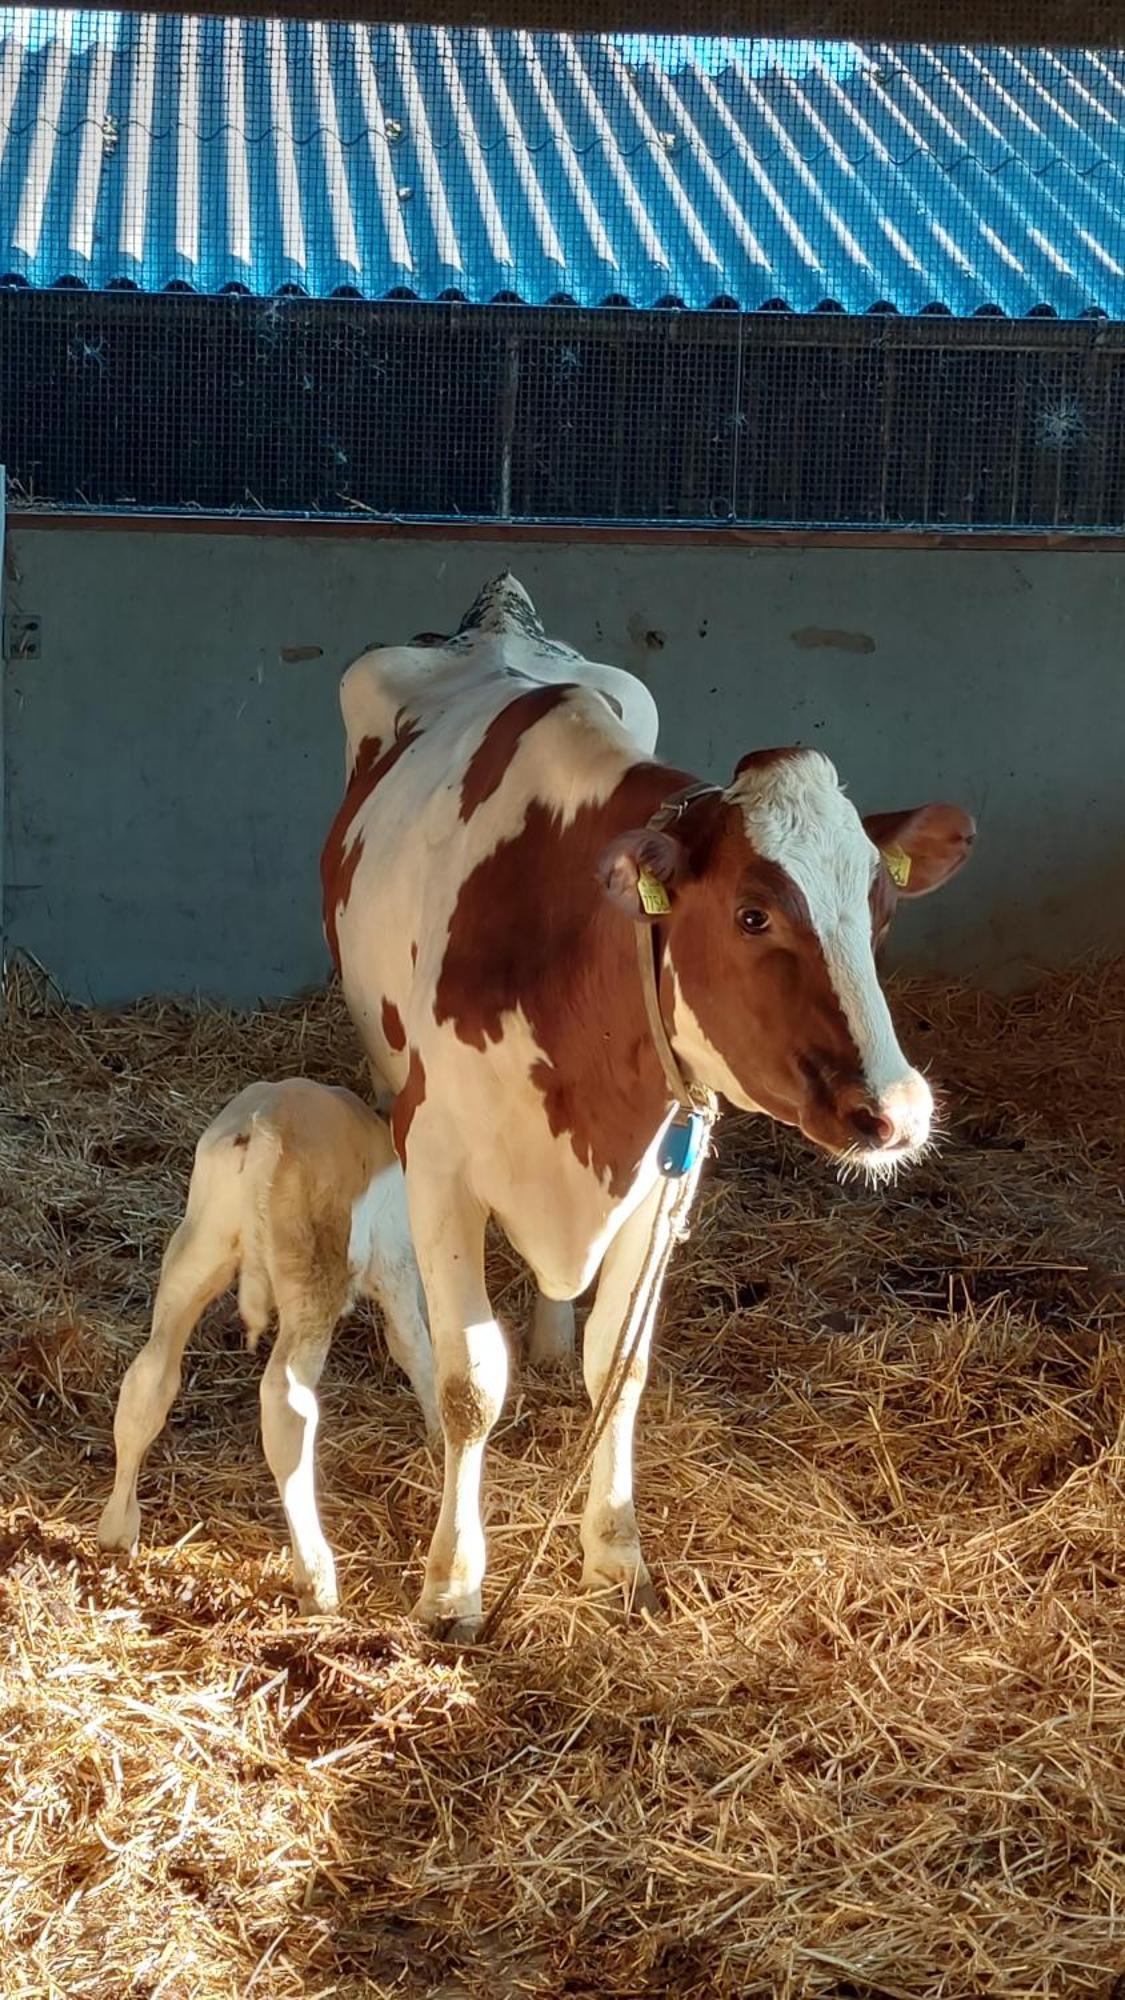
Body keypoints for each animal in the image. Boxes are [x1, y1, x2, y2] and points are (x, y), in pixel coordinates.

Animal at [98, 1080, 436, 1608]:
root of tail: (265, 1127)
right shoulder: (396, 1263)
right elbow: (412, 1345)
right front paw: (438, 1436)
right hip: (311, 1276)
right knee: (286, 1406)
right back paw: (317, 1577)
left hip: (196, 1252)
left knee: (148, 1379)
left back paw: (116, 1529)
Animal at [320, 580, 968, 1640]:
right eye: (751, 914)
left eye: (878, 913)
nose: (897, 1111)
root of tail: (495, 619)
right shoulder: (440, 1159)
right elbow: (469, 1384)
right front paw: (453, 1582)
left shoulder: (666, 1174)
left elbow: (617, 1374)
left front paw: (614, 1554)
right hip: (385, 1072)